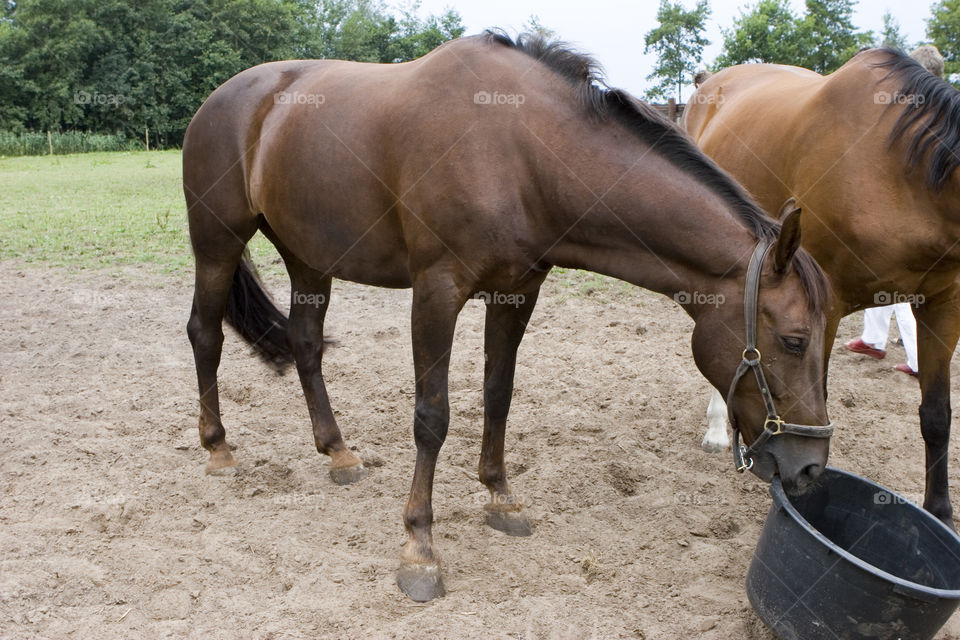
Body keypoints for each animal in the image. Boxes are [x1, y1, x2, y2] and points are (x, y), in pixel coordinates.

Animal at [186, 32, 832, 604]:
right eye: (794, 341)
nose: (809, 468)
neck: (520, 152)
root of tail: (225, 97)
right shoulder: (437, 292)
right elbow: (432, 416)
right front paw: (419, 549)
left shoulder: (518, 293)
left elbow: (499, 394)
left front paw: (500, 497)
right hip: (218, 245)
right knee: (205, 335)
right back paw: (217, 448)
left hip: (308, 257)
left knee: (305, 344)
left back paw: (338, 451)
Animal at [684, 48, 960, 524]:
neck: (904, 176)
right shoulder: (821, 308)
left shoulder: (943, 304)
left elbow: (937, 414)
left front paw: (939, 512)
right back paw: (719, 427)